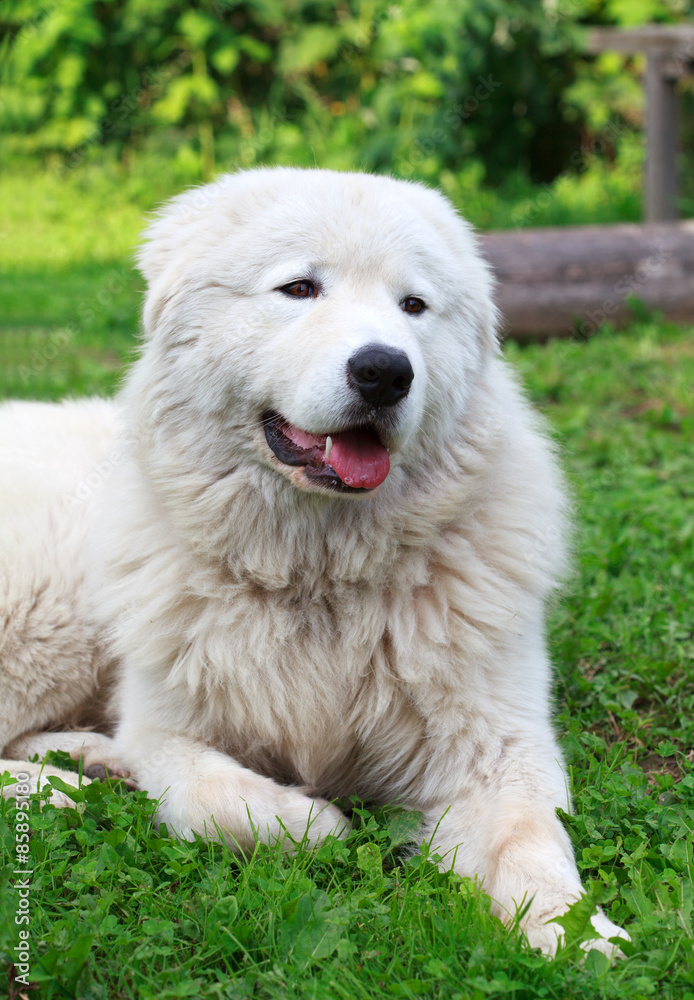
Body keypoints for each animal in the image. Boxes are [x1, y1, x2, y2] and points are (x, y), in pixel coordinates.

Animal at [0, 168, 632, 956]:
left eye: (414, 305)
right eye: (300, 289)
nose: (385, 371)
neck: (318, 576)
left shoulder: (498, 750)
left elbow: (531, 840)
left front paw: (579, 935)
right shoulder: (167, 729)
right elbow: (213, 797)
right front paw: (316, 820)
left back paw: (88, 761)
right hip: (52, 617)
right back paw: (71, 785)